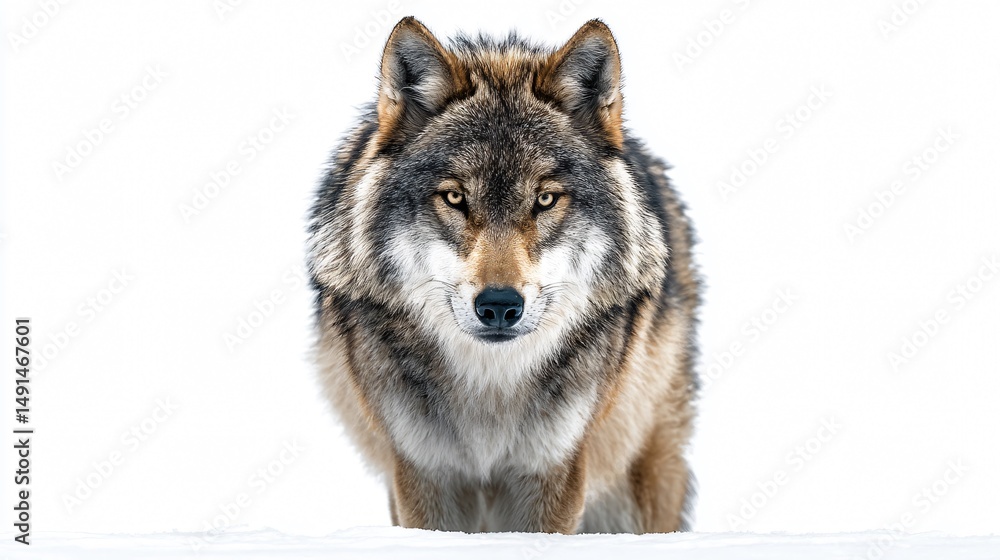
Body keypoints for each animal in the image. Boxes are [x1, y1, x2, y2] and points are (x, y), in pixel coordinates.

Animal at [307, 17, 700, 533]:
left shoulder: (553, 471)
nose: (498, 305)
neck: (490, 387)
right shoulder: (421, 472)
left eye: (545, 199)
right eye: (455, 198)